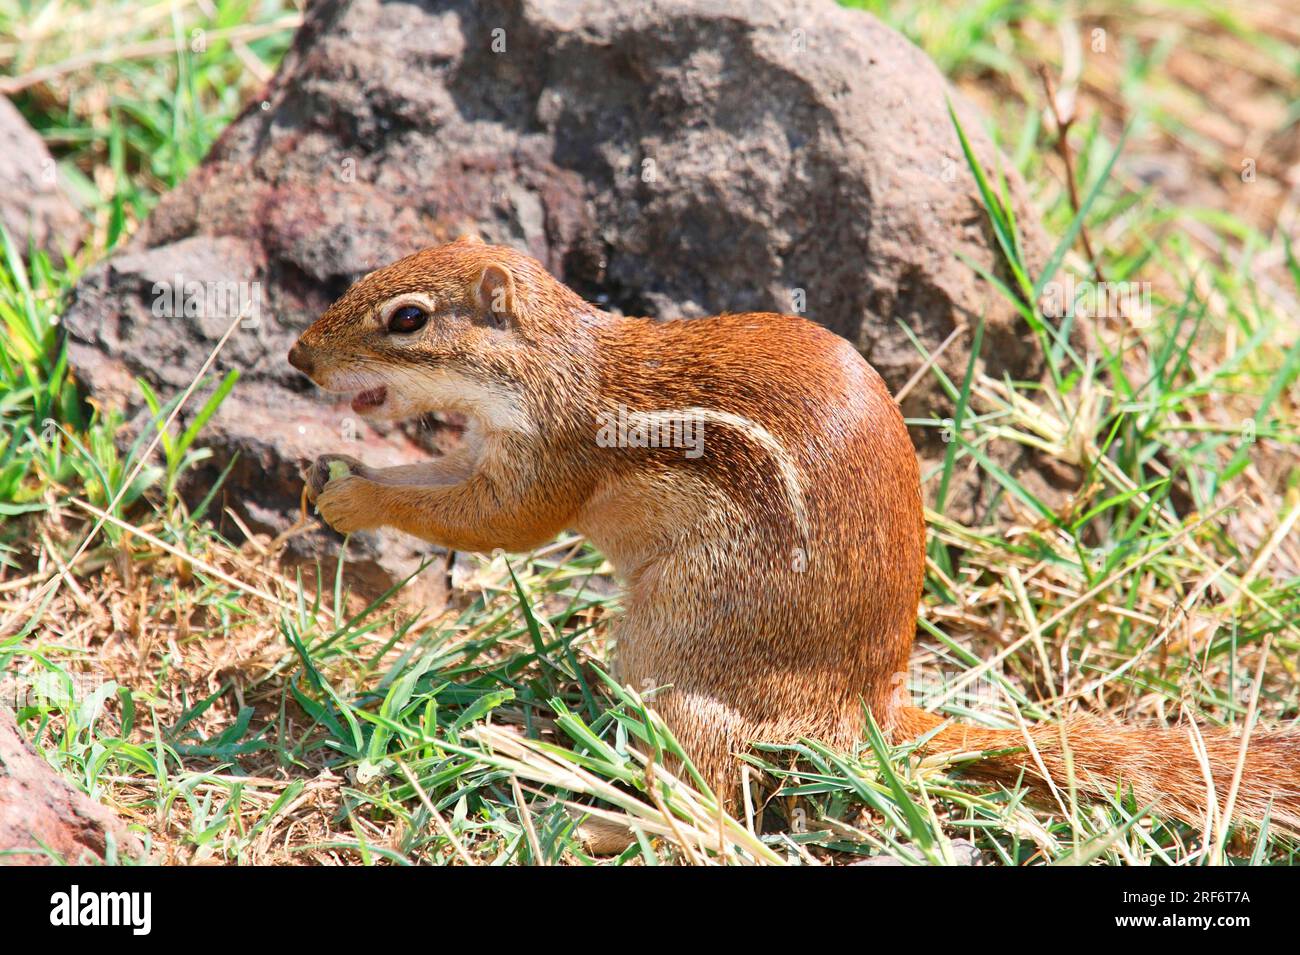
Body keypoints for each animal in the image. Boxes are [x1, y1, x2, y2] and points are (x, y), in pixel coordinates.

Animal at [287, 237, 1300, 831]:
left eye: (406, 318)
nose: (296, 360)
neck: (555, 364)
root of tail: (869, 709)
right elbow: (443, 486)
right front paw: (329, 478)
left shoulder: (548, 462)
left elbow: (489, 521)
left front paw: (355, 500)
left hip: (674, 654)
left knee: (712, 789)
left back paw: (596, 812)